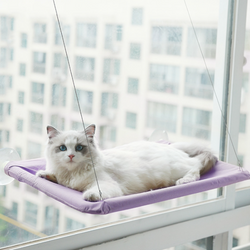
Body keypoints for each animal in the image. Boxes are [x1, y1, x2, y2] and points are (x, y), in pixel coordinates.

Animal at [35, 124, 217, 202]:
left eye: (79, 147)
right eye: (63, 148)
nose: (71, 156)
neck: (72, 173)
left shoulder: (106, 184)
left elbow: (95, 191)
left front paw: (90, 196)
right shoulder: (64, 178)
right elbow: (56, 178)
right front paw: (43, 174)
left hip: (177, 168)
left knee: (196, 167)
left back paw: (184, 181)